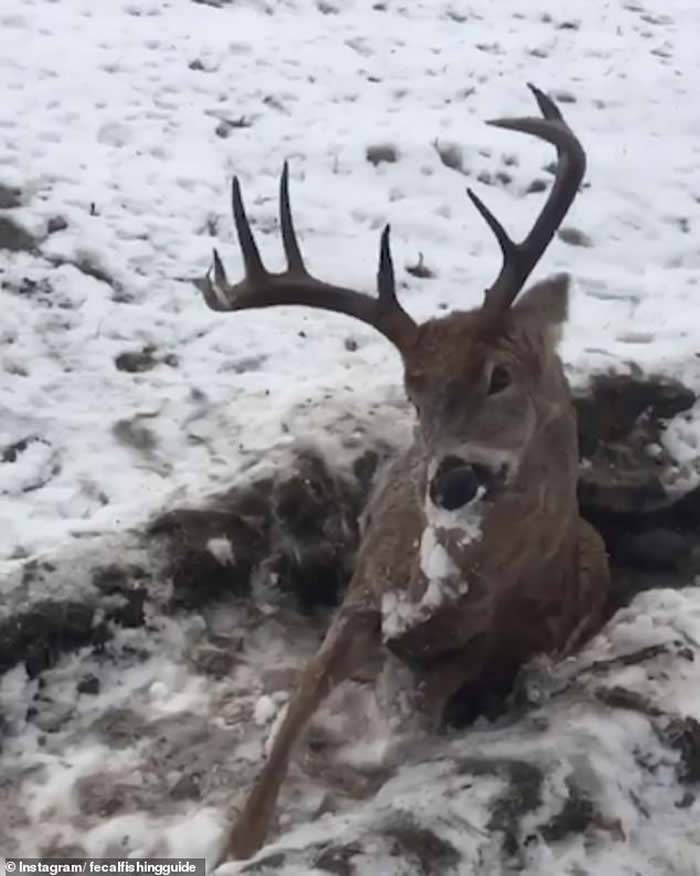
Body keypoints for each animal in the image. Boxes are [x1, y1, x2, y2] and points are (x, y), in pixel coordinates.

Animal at [196, 85, 608, 860]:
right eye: (412, 391)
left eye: (500, 375)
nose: (448, 482)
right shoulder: (362, 594)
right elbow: (294, 712)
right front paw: (235, 844)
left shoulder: (487, 639)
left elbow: (408, 726)